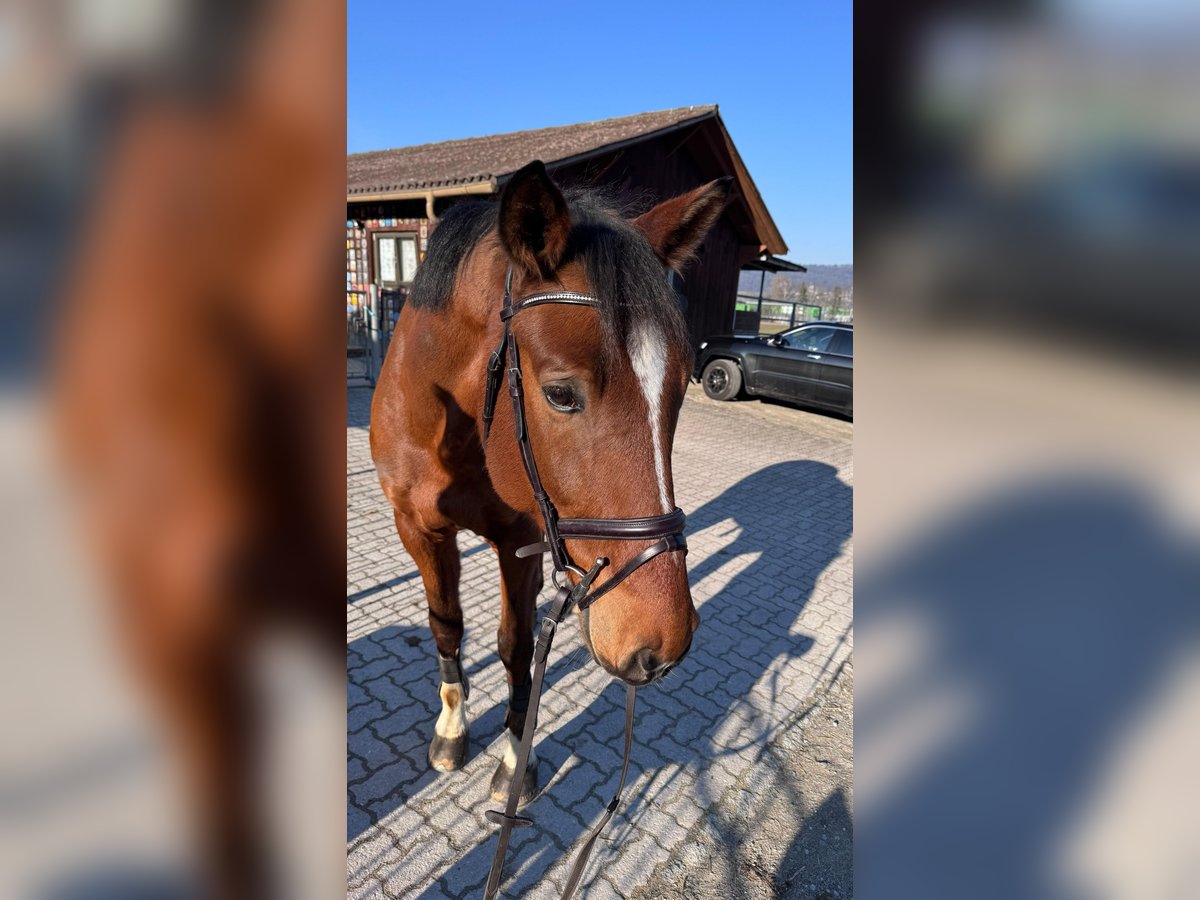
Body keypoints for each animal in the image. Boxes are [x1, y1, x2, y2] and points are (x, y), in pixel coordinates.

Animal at [367, 162, 729, 811]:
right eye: (561, 394)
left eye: (683, 385)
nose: (662, 644)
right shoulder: (417, 527)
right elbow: (446, 623)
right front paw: (452, 727)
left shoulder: (521, 542)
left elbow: (517, 647)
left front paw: (517, 759)